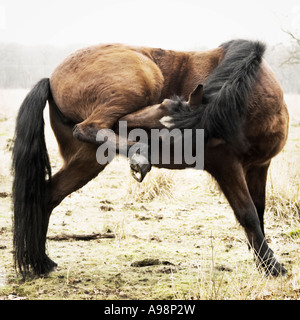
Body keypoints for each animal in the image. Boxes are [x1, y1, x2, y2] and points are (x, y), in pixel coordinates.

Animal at [11, 38, 288, 278]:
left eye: (167, 107)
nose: (123, 125)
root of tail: (52, 78)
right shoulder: (226, 165)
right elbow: (247, 213)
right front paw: (272, 266)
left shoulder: (259, 167)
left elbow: (259, 211)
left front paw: (262, 261)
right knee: (88, 128)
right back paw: (138, 155)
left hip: (86, 160)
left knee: (48, 195)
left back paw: (41, 262)